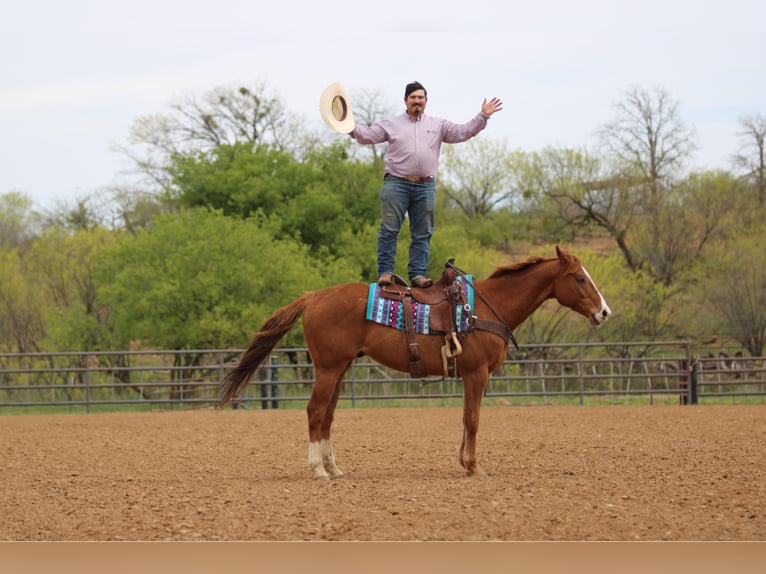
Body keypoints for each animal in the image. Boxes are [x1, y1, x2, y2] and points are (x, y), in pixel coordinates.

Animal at [219, 245, 616, 480]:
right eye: (579, 278)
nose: (604, 312)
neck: (484, 308)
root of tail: (313, 296)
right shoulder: (477, 374)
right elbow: (473, 420)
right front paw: (474, 467)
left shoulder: (471, 377)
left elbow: (466, 420)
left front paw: (464, 462)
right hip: (329, 369)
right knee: (315, 412)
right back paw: (319, 469)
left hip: (339, 369)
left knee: (327, 416)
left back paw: (335, 467)